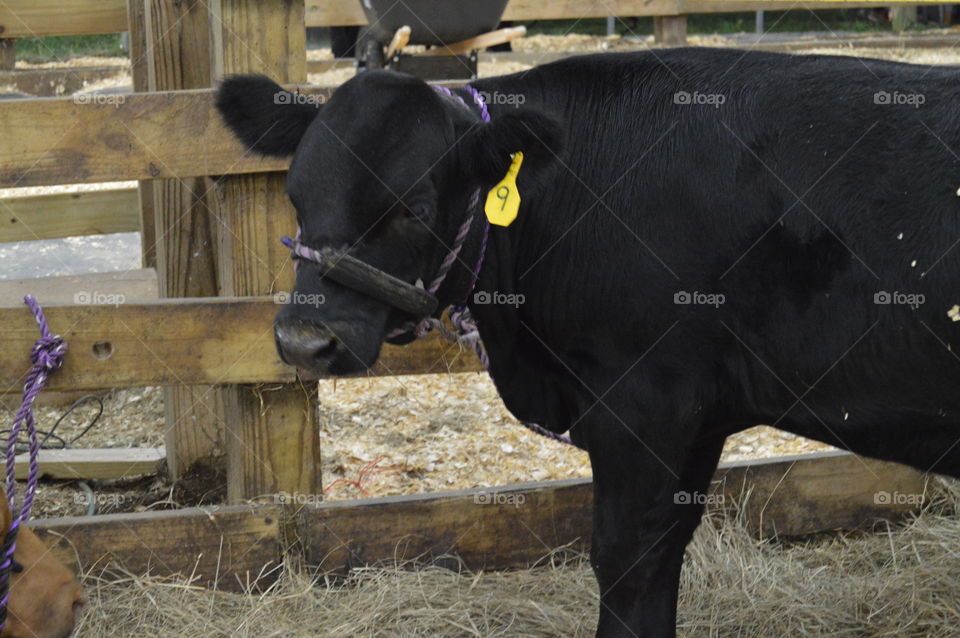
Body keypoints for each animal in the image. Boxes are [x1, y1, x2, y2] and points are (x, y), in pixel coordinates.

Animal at [216, 47, 960, 636]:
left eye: (415, 209)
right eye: (295, 194)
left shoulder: (645, 404)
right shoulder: (697, 415)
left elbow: (627, 562)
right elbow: (664, 554)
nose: (304, 341)